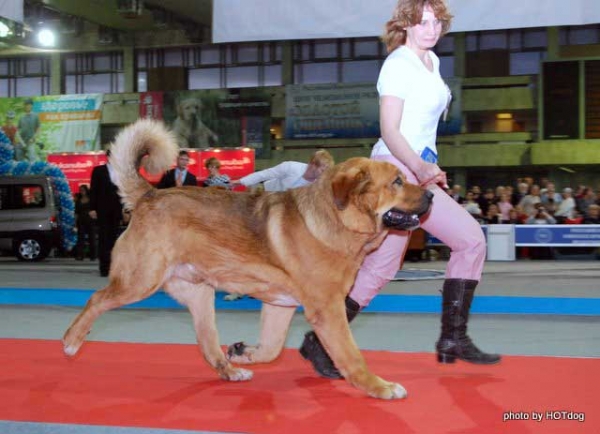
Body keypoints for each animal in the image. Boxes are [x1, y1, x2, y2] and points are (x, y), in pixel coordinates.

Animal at [64, 118, 432, 400]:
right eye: (398, 181)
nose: (430, 193)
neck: (337, 220)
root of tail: (150, 194)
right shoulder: (327, 309)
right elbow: (351, 355)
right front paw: (379, 387)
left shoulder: (280, 306)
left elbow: (271, 348)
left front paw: (245, 352)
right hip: (139, 281)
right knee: (97, 299)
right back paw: (71, 341)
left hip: (199, 295)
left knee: (207, 344)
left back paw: (231, 370)